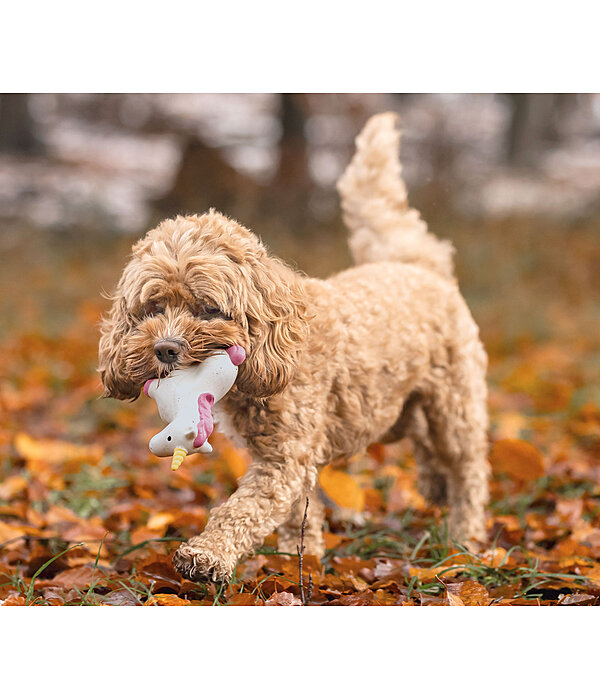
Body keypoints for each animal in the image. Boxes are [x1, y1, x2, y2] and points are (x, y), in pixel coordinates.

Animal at [98, 113, 490, 584]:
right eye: (153, 307)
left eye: (209, 309)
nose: (167, 349)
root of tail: (418, 265)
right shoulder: (285, 453)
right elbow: (298, 516)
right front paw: (300, 560)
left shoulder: (283, 458)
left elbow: (246, 509)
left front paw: (208, 555)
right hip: (402, 406)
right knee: (424, 441)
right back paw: (435, 488)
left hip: (455, 403)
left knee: (467, 467)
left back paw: (465, 538)